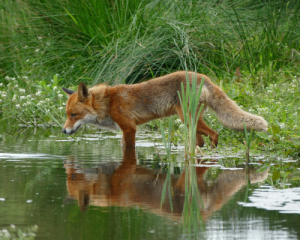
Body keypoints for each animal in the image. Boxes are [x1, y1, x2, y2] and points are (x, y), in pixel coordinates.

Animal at [61, 70, 268, 147]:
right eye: (67, 115)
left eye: (74, 115)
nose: (63, 131)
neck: (109, 102)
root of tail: (203, 77)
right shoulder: (125, 130)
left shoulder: (129, 128)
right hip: (191, 123)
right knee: (201, 140)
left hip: (187, 119)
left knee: (215, 133)